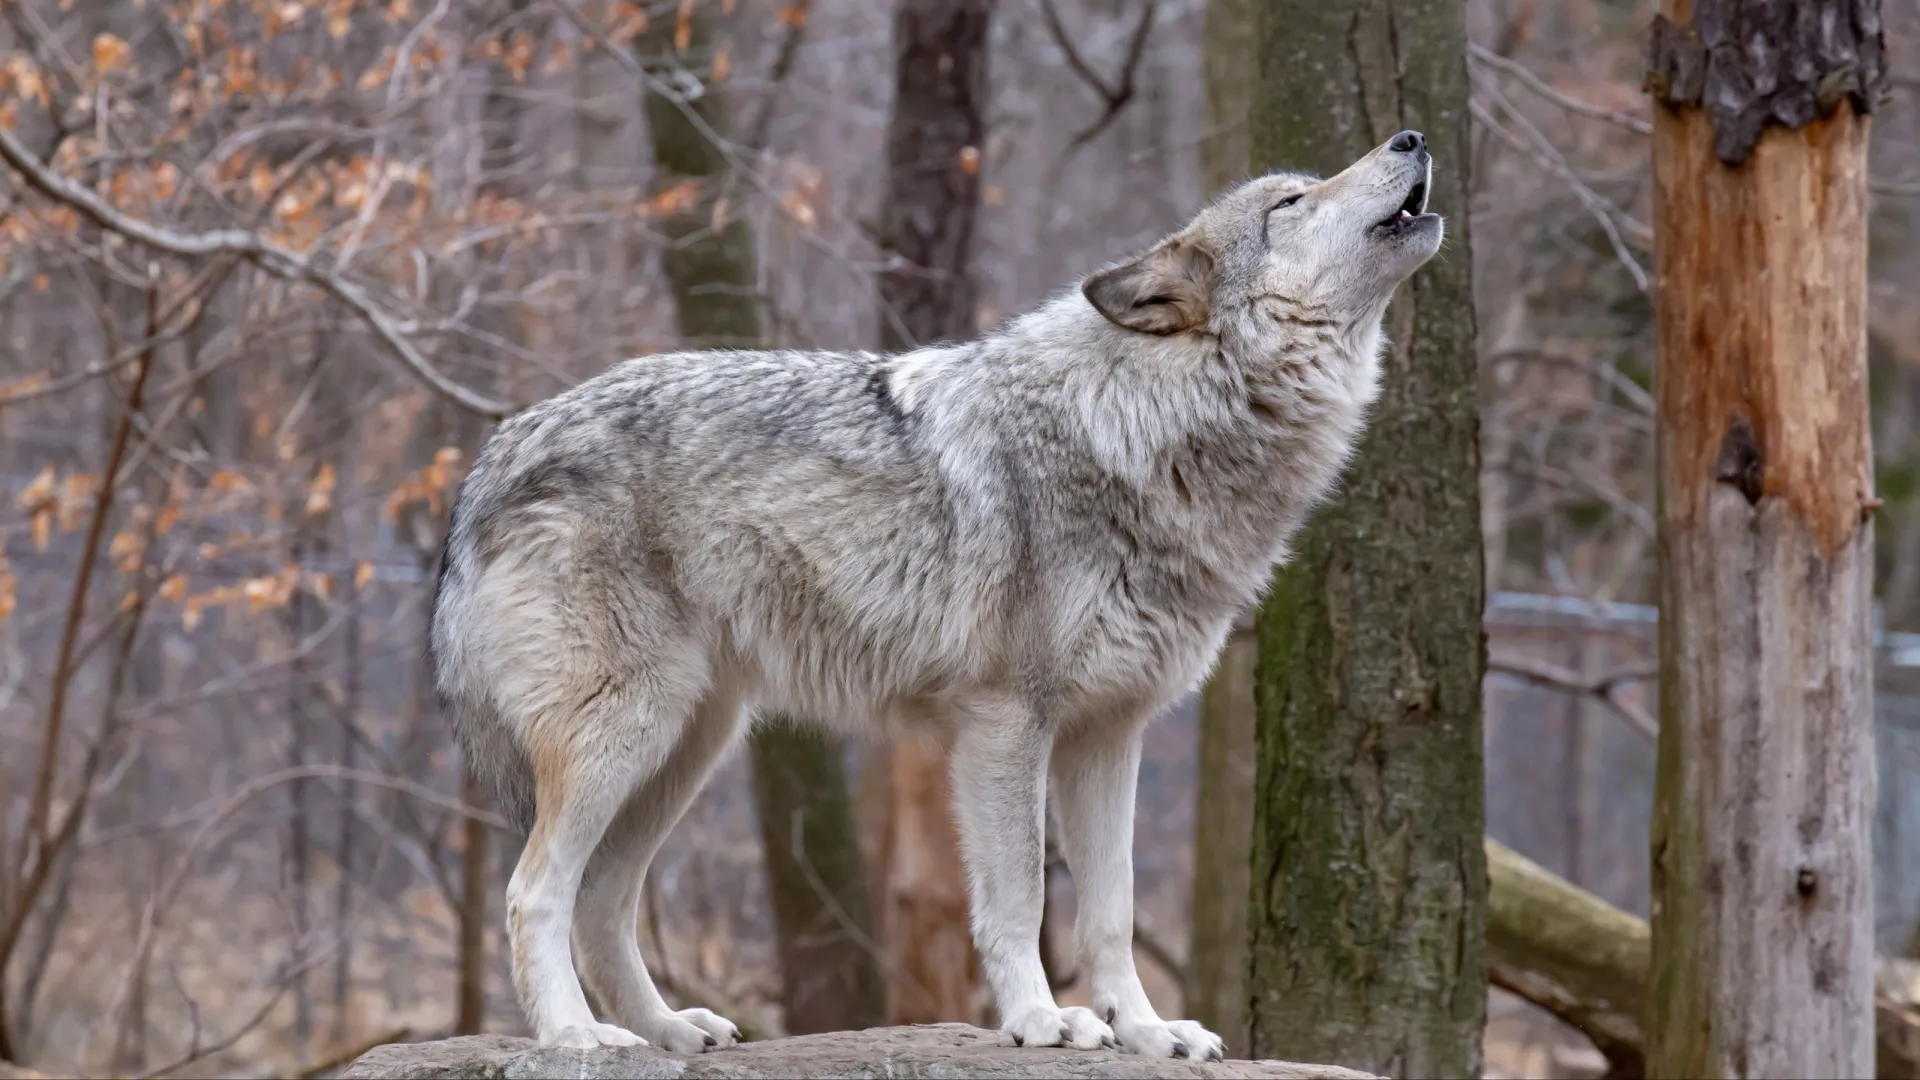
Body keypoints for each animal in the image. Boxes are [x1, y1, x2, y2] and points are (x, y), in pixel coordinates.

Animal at [424, 130, 1443, 1053]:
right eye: (1292, 203)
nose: (1412, 136)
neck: (1141, 427)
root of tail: (491, 456)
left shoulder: (1110, 736)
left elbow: (1109, 915)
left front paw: (1149, 1034)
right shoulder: (1007, 724)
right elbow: (1020, 898)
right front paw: (1043, 1020)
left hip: (687, 745)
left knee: (601, 899)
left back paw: (668, 1030)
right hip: (627, 736)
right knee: (534, 891)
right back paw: (575, 1037)